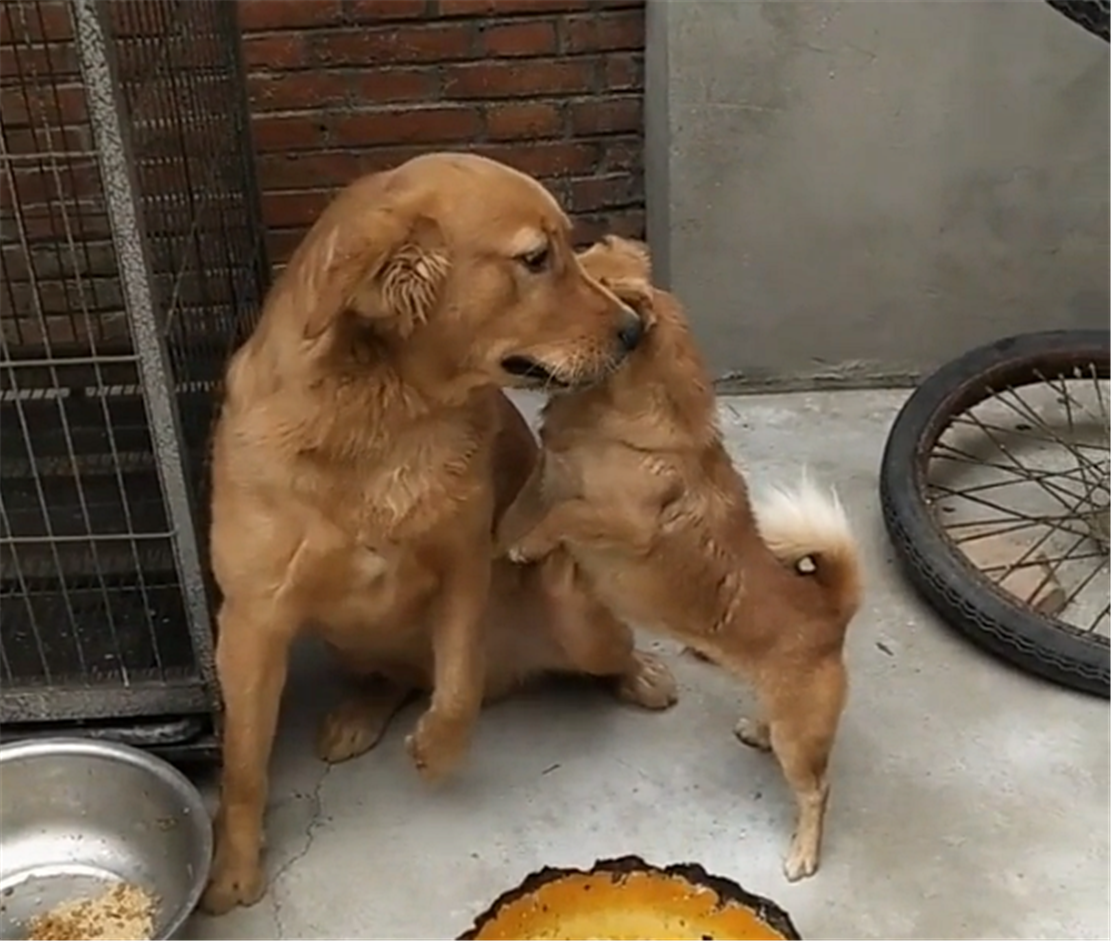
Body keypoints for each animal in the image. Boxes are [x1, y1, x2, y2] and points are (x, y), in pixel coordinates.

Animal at [497, 235, 866, 884]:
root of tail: (830, 610)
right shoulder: (549, 476)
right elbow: (528, 505)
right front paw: (507, 535)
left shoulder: (620, 520)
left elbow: (564, 518)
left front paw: (530, 542)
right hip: (785, 709)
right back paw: (757, 731)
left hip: (802, 737)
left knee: (816, 789)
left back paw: (803, 851)